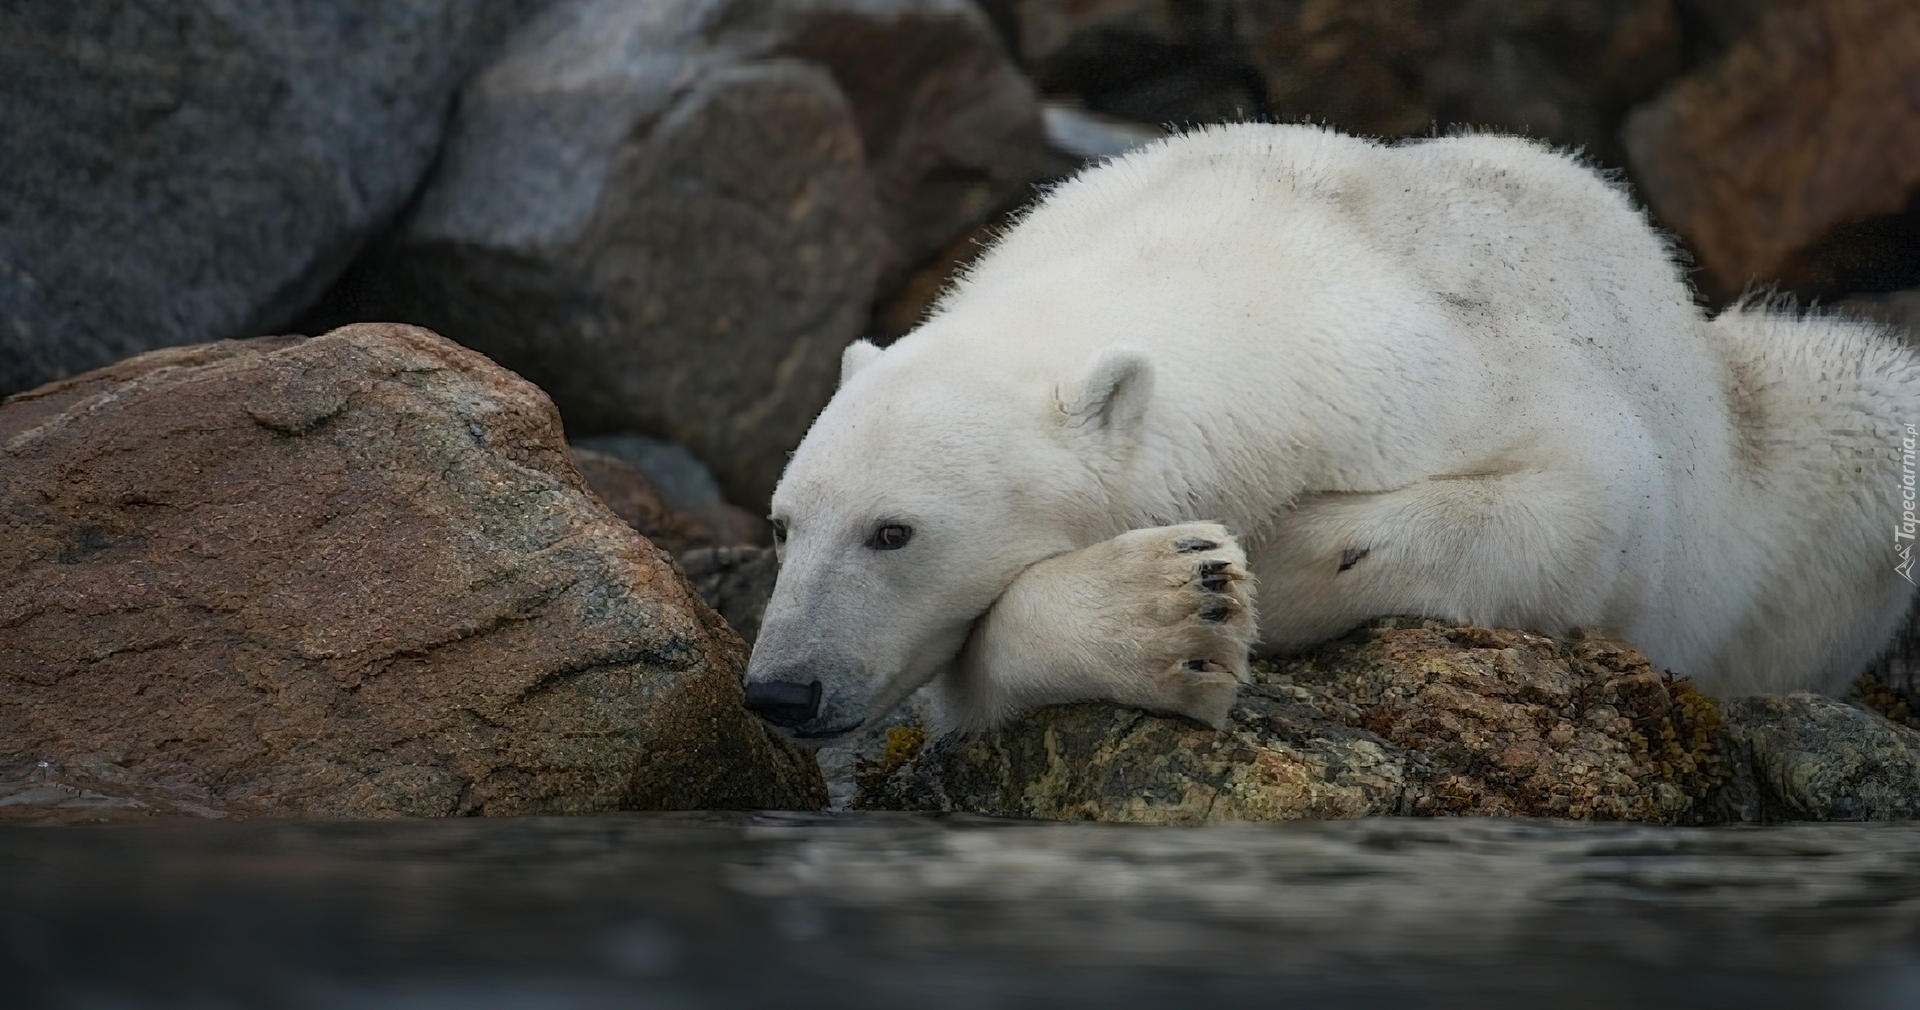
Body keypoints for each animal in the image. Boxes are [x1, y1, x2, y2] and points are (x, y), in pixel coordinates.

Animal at [737, 124, 1920, 745]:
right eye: (786, 524)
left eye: (893, 531)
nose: (780, 689)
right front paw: (1170, 607)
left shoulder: (1464, 371)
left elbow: (1583, 510)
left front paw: (1266, 568)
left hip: (1801, 465)